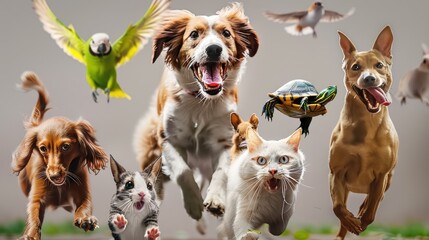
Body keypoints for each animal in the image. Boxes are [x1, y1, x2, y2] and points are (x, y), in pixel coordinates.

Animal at [134, 2, 258, 225]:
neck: (201, 102)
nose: (214, 49)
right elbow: (183, 171)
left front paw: (216, 200)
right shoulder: (169, 139)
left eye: (226, 33)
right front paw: (193, 203)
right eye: (193, 34)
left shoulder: (224, 140)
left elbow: (221, 172)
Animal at [330, 25, 400, 239]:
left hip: (388, 179)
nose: (369, 78)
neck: (367, 123)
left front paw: (363, 218)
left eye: (379, 65)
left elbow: (372, 206)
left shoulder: (381, 175)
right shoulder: (337, 173)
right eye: (355, 67)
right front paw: (351, 222)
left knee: (373, 198)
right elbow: (338, 207)